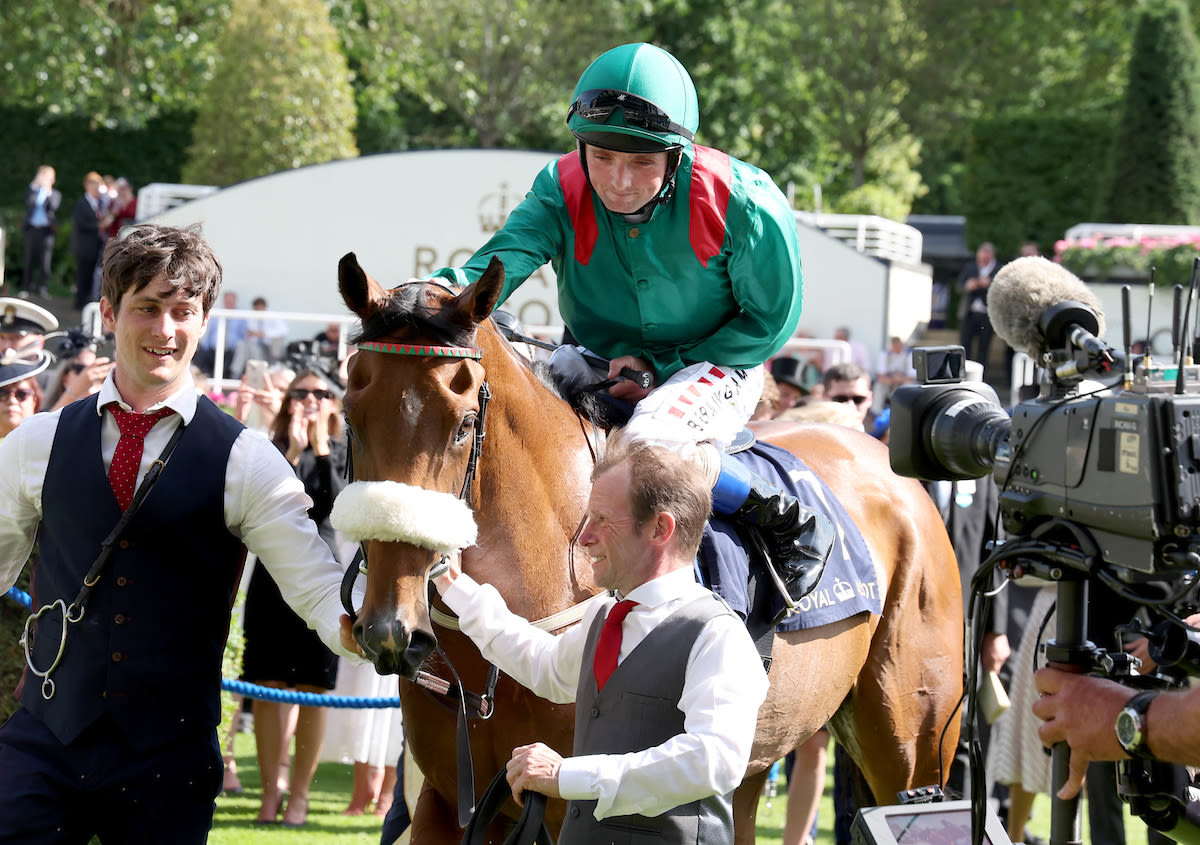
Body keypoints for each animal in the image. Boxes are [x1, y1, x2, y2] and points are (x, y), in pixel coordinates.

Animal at [333, 255, 960, 845]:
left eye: (463, 425)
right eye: (350, 418)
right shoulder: (447, 800)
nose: (392, 628)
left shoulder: (559, 802)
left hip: (911, 741)